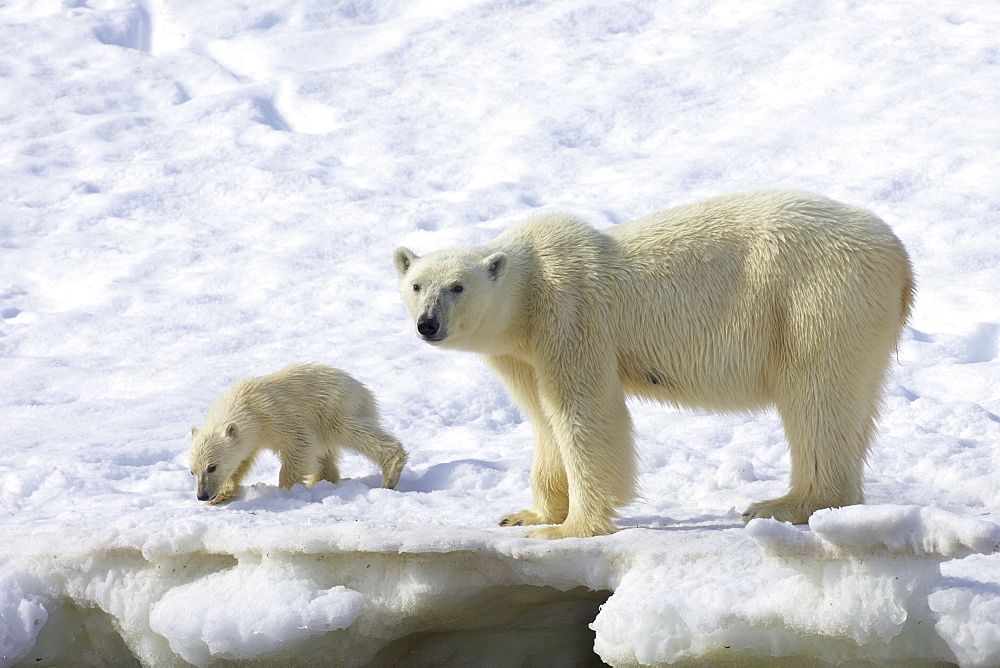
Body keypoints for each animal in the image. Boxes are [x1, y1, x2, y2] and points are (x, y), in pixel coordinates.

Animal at [188, 366, 406, 500]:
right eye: (192, 471)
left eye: (212, 467)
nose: (202, 496)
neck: (244, 405)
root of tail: (361, 387)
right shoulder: (252, 437)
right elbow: (241, 460)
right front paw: (223, 494)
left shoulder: (274, 415)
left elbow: (300, 442)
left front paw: (287, 490)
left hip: (334, 408)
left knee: (351, 431)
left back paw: (391, 470)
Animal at [390, 188, 916, 536]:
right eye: (417, 284)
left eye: (457, 286)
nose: (428, 324)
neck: (530, 287)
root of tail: (900, 256)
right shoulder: (521, 352)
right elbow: (543, 418)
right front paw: (525, 514)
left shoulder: (570, 317)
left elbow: (584, 413)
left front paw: (566, 528)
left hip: (816, 300)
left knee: (816, 398)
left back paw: (783, 505)